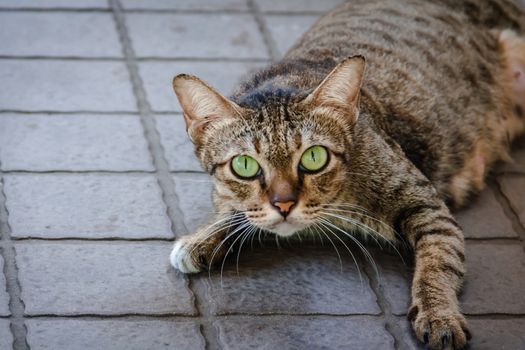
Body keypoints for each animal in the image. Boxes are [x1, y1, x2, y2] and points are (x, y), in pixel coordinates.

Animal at [168, 1, 524, 348]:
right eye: (244, 165)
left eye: (314, 158)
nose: (284, 204)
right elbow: (234, 210)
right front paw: (202, 238)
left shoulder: (426, 203)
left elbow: (440, 260)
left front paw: (439, 314)